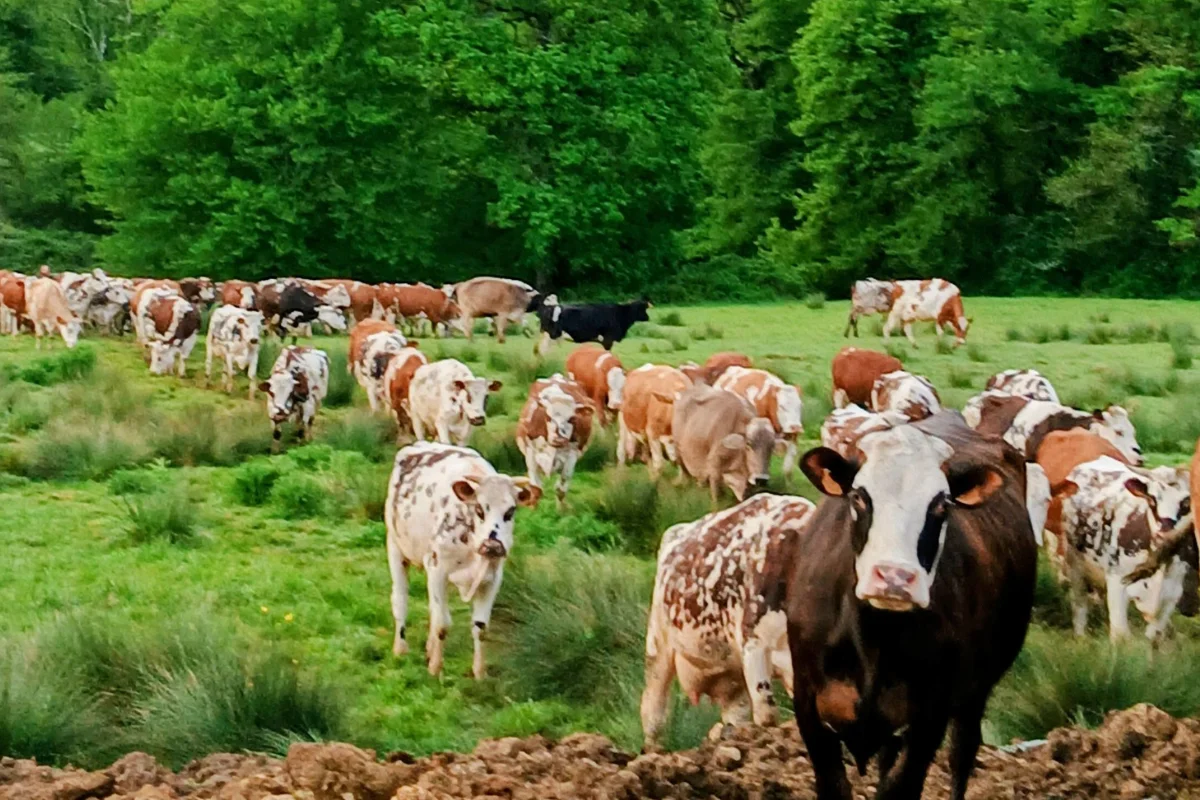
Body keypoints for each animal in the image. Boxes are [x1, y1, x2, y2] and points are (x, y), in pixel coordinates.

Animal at [384, 442, 538, 677]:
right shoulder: (437, 570)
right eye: (479, 508)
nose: (493, 545)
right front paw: (435, 668)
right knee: (401, 599)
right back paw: (400, 649)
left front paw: (479, 673)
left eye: (510, 511)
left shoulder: (492, 579)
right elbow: (442, 624)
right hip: (396, 548)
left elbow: (480, 627)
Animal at [515, 376, 595, 508]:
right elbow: (536, 488)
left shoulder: (571, 456)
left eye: (572, 418)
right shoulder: (531, 453)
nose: (559, 439)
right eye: (548, 417)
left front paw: (561, 510)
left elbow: (561, 488)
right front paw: (533, 509)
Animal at [789, 412, 1036, 800]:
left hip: (975, 692)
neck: (872, 639)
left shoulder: (929, 718)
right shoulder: (808, 706)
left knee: (962, 753)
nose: (894, 577)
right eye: (858, 496)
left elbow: (901, 786)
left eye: (941, 504)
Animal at [1056, 456, 1194, 641]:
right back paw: (1080, 637)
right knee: (1080, 604)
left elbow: (1155, 635)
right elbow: (1120, 635)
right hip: (1075, 563)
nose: (1163, 533)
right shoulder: (1117, 582)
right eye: (1152, 499)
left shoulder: (1172, 592)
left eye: (1185, 504)